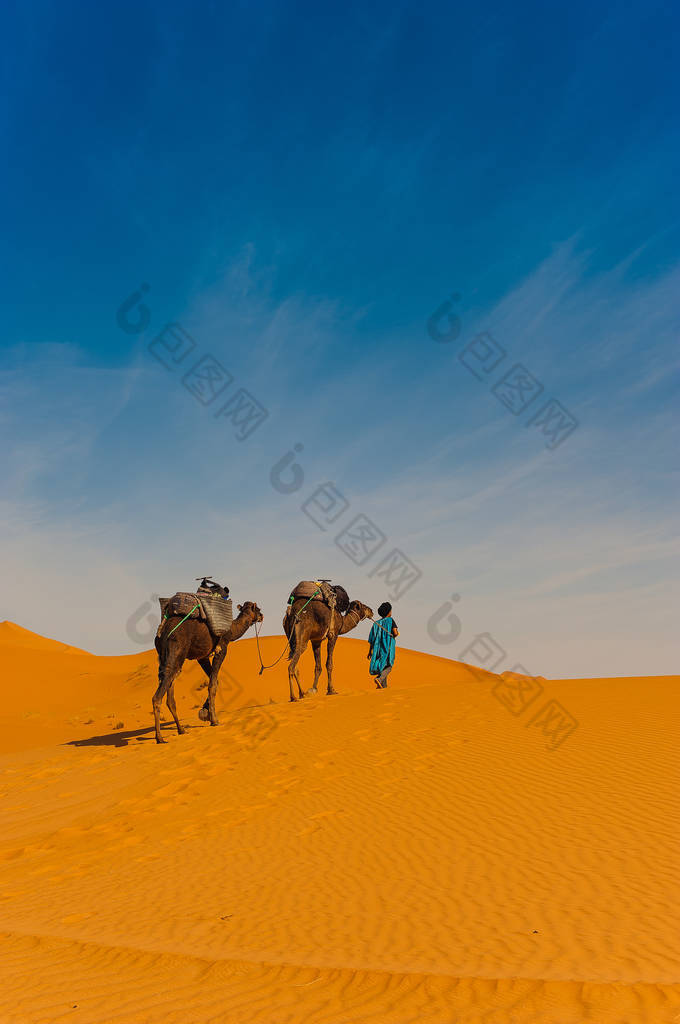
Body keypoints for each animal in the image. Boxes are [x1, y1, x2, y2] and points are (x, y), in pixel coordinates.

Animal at [153, 598, 262, 745]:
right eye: (258, 609)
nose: (262, 616)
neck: (231, 630)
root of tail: (162, 631)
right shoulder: (222, 648)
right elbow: (213, 684)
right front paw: (214, 720)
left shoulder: (202, 657)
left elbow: (214, 681)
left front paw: (205, 714)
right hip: (176, 651)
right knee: (160, 693)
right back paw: (160, 738)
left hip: (166, 656)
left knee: (170, 689)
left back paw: (181, 730)